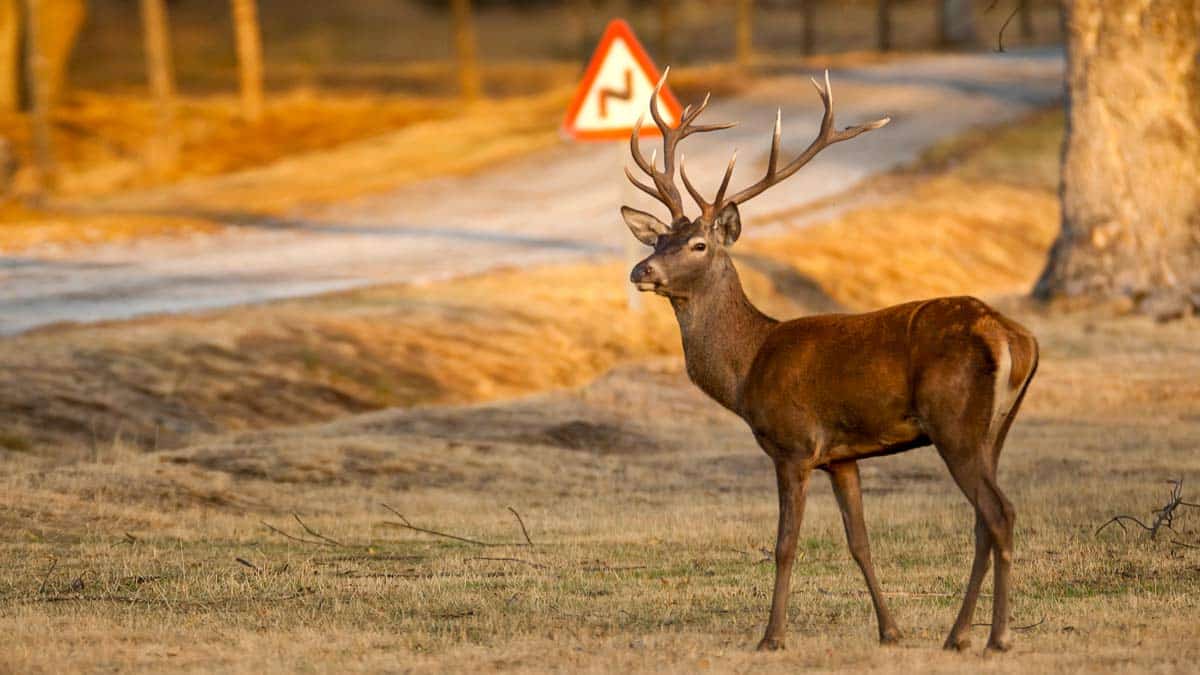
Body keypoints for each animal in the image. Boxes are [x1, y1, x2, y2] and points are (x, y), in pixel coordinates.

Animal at [621, 70, 1039, 654]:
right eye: (659, 238)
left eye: (699, 244)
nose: (642, 270)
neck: (747, 368)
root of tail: (1013, 337)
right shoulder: (843, 455)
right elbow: (859, 541)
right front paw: (891, 630)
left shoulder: (794, 444)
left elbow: (784, 544)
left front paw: (772, 636)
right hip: (994, 428)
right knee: (984, 519)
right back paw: (956, 635)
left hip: (954, 420)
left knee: (999, 513)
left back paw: (996, 638)